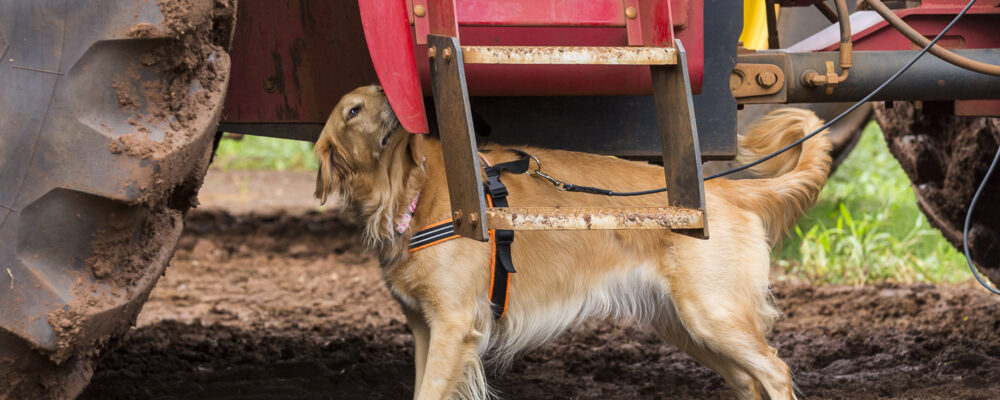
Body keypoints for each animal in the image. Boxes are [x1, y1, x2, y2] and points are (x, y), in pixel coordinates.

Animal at [316, 85, 832, 400]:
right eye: (353, 111)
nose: (394, 93)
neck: (410, 192)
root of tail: (725, 189)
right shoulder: (424, 327)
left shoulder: (454, 325)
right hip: (685, 326)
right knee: (749, 380)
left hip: (714, 315)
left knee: (776, 371)